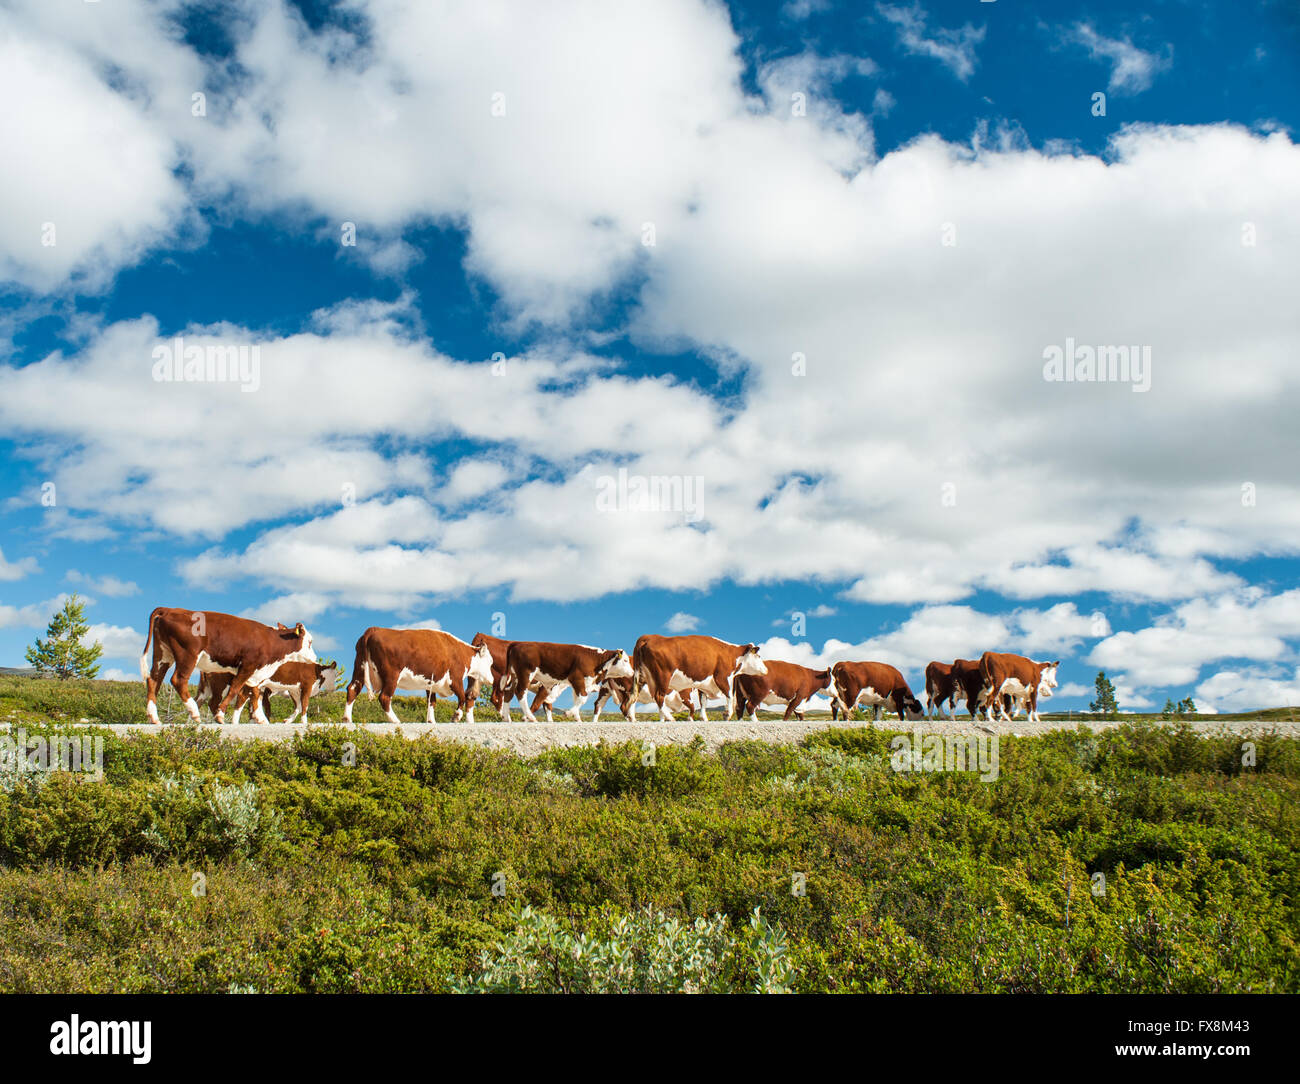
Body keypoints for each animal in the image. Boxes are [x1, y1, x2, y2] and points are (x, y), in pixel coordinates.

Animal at [141, 603, 315, 722]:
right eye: (310, 642)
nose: (314, 658)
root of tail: (170, 609)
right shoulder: (248, 665)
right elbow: (235, 689)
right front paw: (220, 715)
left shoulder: (256, 673)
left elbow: (254, 695)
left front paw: (260, 718)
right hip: (188, 655)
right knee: (178, 680)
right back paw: (194, 713)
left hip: (162, 654)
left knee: (154, 679)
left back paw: (153, 717)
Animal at [343, 621, 493, 722]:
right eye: (490, 662)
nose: (492, 680)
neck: (461, 652)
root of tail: (373, 630)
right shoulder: (455, 679)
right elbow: (462, 697)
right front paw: (456, 716)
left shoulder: (431, 682)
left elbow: (431, 702)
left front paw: (431, 721)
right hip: (392, 675)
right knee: (384, 697)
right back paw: (396, 721)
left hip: (359, 668)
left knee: (352, 689)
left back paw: (347, 719)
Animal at [496, 636, 634, 722]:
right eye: (625, 660)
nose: (633, 672)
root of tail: (517, 643)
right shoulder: (576, 678)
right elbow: (582, 698)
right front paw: (568, 713)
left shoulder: (580, 683)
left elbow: (578, 699)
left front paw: (577, 719)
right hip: (526, 673)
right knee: (520, 692)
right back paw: (530, 718)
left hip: (514, 675)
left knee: (508, 692)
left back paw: (507, 718)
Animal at [626, 634, 764, 717]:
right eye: (758, 656)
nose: (765, 670)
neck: (730, 654)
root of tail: (650, 637)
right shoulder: (722, 677)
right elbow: (729, 695)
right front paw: (728, 714)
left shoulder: (703, 685)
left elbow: (703, 703)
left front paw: (704, 719)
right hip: (663, 676)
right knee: (659, 696)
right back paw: (670, 718)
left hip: (643, 677)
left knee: (636, 697)